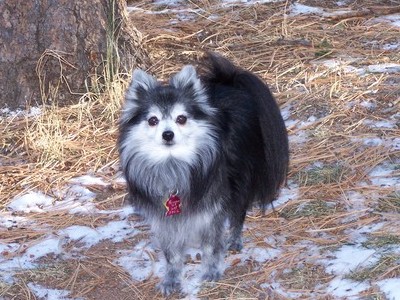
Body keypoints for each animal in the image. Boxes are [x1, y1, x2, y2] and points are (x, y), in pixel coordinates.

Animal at [117, 52, 290, 296]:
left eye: (181, 118)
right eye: (153, 120)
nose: (168, 134)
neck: (173, 163)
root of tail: (230, 82)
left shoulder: (212, 209)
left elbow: (211, 246)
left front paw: (210, 271)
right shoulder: (163, 217)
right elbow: (171, 253)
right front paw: (171, 279)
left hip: (241, 178)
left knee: (238, 213)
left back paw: (234, 239)